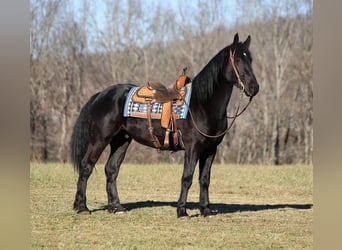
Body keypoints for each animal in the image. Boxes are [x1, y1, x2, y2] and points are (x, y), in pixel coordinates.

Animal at [71, 33, 260, 217]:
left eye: (250, 60)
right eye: (237, 60)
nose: (254, 88)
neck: (202, 104)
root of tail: (101, 95)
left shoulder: (211, 149)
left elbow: (205, 179)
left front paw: (206, 210)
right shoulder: (192, 148)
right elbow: (187, 178)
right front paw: (182, 210)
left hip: (121, 140)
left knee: (111, 169)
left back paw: (116, 207)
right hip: (100, 139)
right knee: (86, 166)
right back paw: (82, 207)